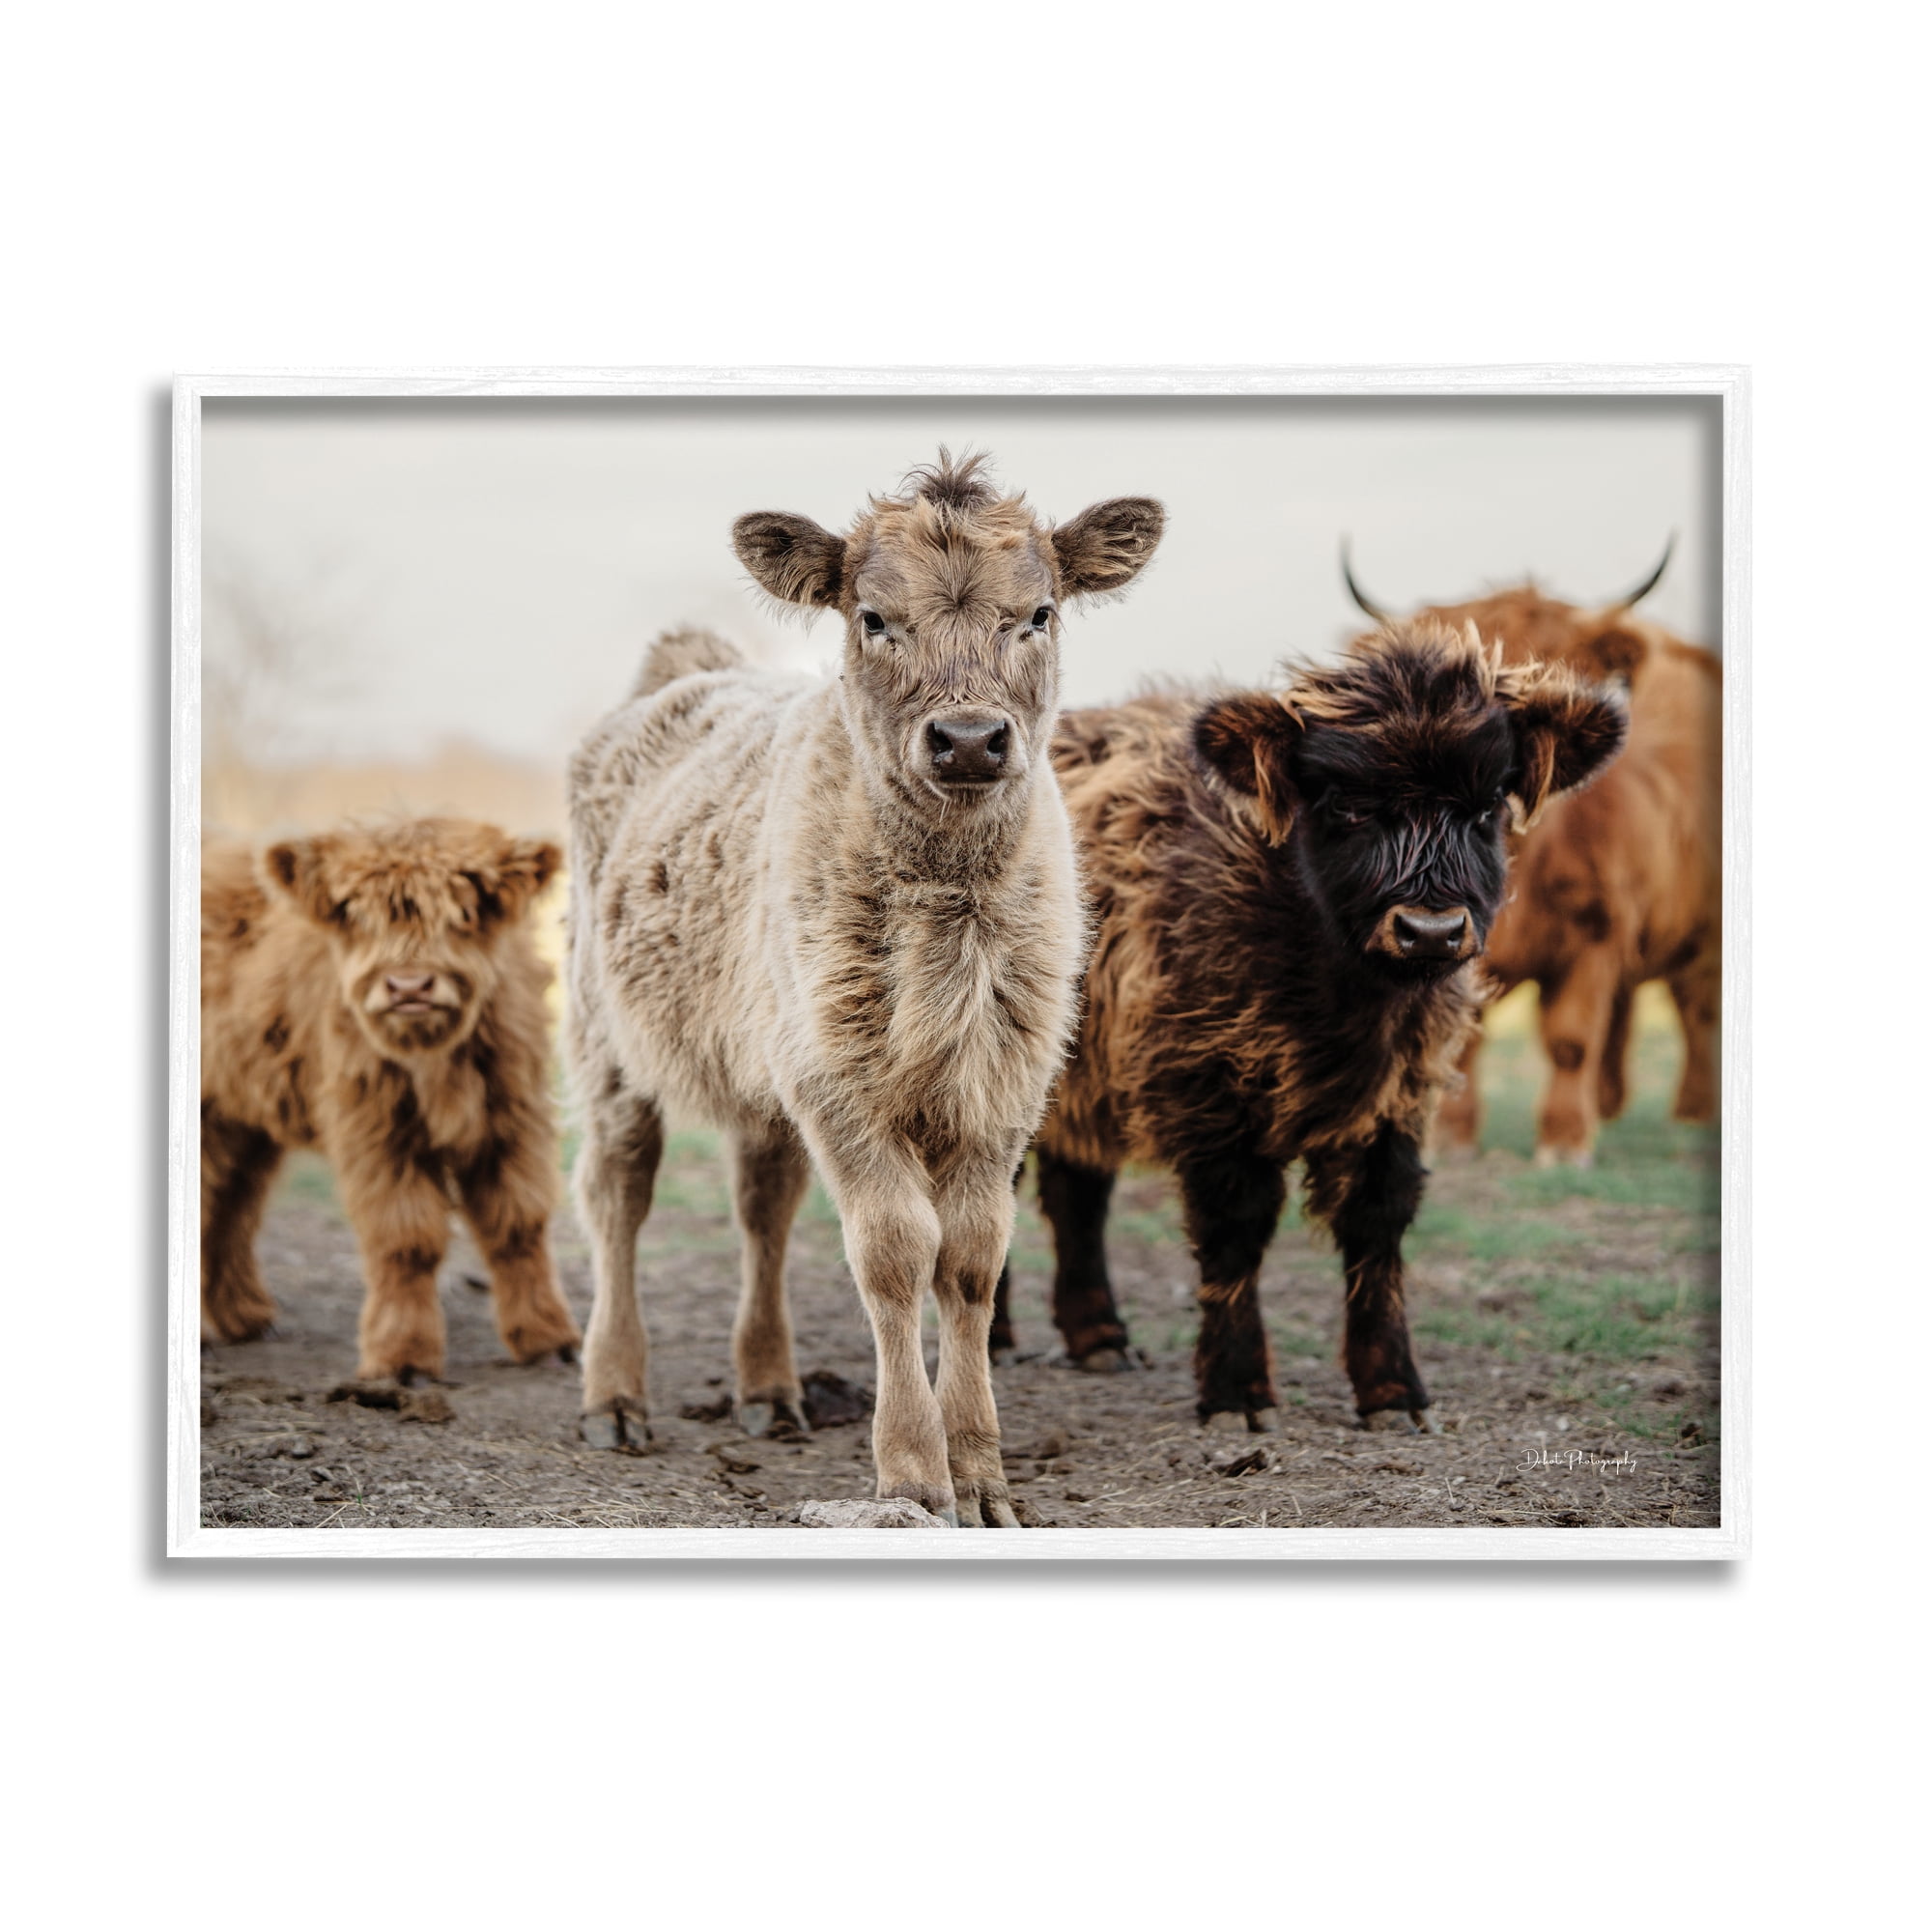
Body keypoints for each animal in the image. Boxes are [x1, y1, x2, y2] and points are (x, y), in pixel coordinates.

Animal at [200, 818, 580, 1382]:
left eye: (463, 914)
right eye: (357, 916)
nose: (409, 986)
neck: (433, 1057)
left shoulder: (511, 1118)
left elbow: (518, 1223)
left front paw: (549, 1340)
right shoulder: (377, 1130)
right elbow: (406, 1240)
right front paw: (403, 1359)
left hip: (244, 1118)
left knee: (233, 1205)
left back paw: (248, 1318)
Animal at [565, 451, 1164, 1524]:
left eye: (1039, 613)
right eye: (874, 618)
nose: (967, 739)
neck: (949, 912)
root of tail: (687, 672)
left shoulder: (1001, 1084)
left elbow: (969, 1258)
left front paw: (981, 1472)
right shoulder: (840, 1084)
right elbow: (894, 1252)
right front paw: (914, 1471)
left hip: (768, 1057)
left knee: (762, 1204)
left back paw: (769, 1386)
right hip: (608, 1045)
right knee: (617, 1196)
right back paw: (615, 1395)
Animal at [989, 620, 1627, 1431]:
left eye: (1486, 809)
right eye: (1347, 808)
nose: (1429, 931)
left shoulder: (1400, 1095)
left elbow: (1378, 1222)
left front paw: (1392, 1390)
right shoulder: (1206, 1085)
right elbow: (1236, 1229)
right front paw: (1236, 1392)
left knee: (1077, 1189)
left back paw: (1098, 1336)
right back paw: (994, 1339)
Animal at [1342, 544, 1722, 1162]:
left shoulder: (1596, 933)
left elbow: (1571, 1038)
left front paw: (1565, 1142)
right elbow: (1467, 1041)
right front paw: (1454, 1138)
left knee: (1696, 1012)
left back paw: (1691, 1112)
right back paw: (1610, 1107)